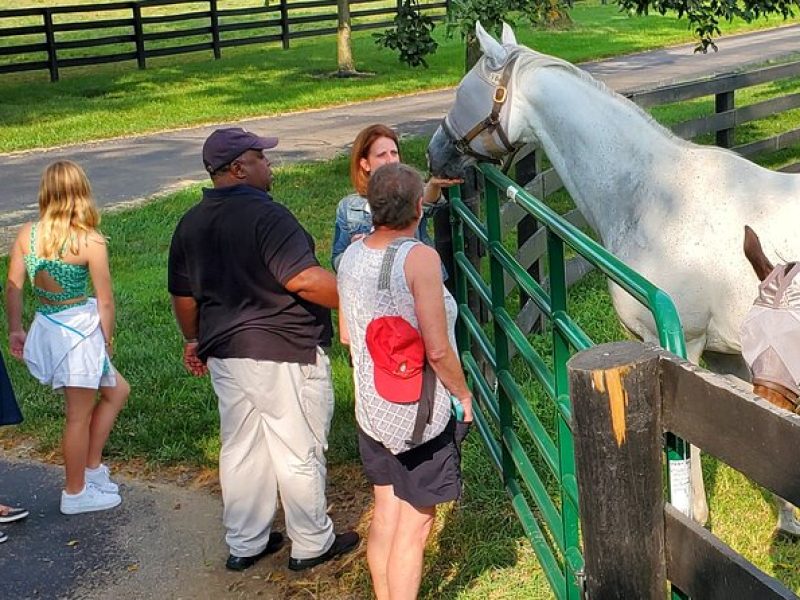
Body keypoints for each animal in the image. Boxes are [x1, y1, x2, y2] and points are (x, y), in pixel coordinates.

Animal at [428, 22, 800, 528]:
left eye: (463, 94)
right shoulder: (730, 357)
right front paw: (789, 520)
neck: (657, 198)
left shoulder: (682, 347)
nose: (435, 153)